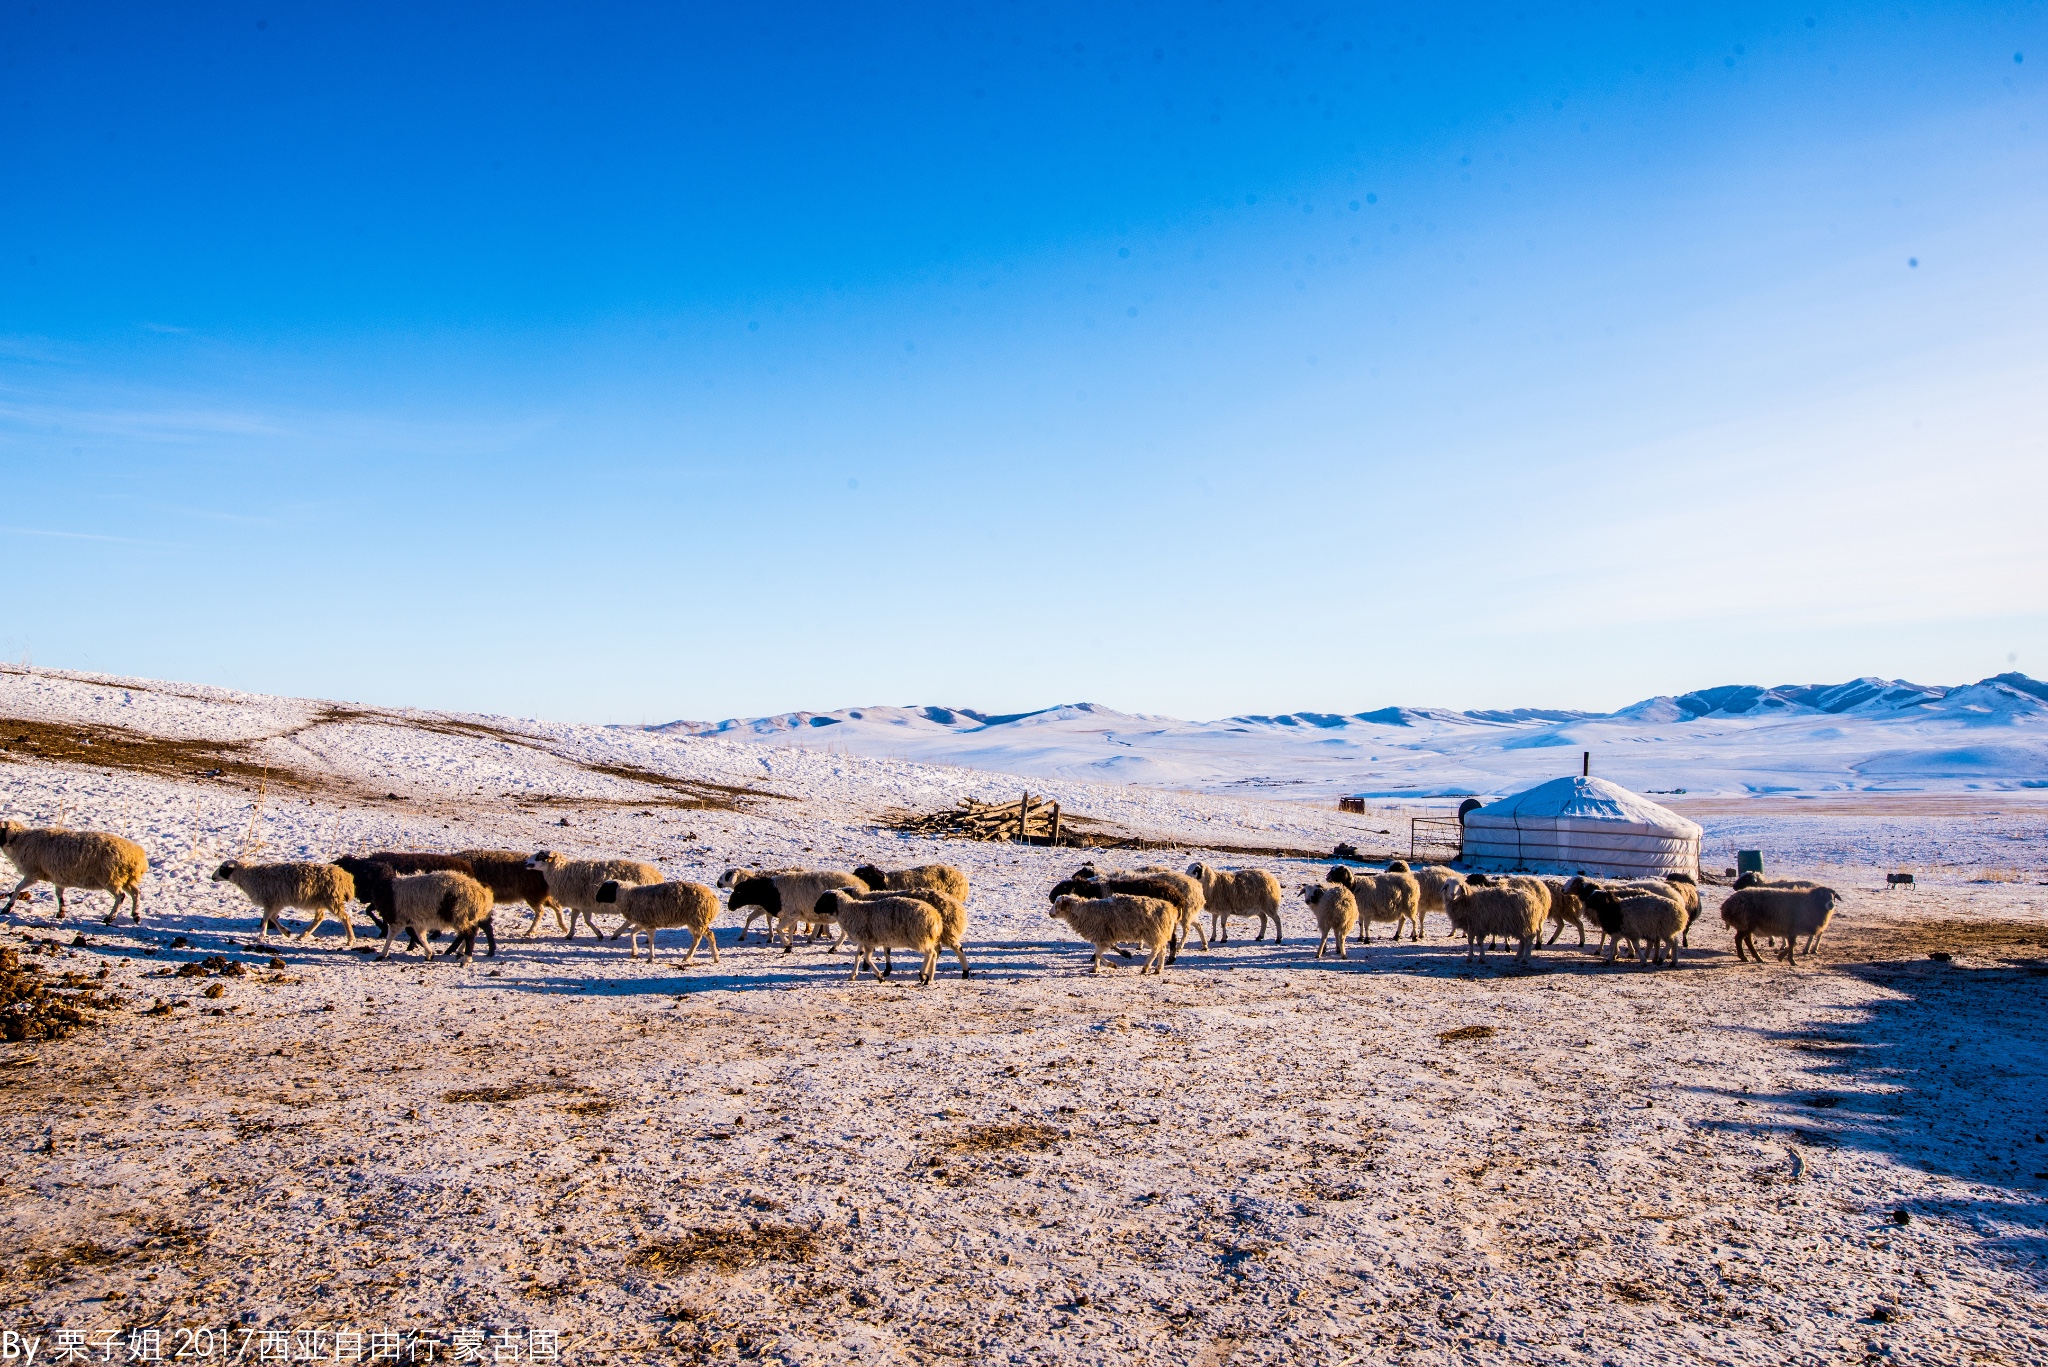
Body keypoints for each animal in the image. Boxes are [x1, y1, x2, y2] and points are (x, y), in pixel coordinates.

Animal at [0, 823, 148, 930]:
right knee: (136, 892)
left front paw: (7, 907)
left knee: (120, 896)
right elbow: (59, 894)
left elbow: (18, 888)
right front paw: (61, 912)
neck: (21, 841)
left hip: (110, 877)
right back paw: (136, 916)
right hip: (125, 878)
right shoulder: (58, 877)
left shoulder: (33, 873)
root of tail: (137, 856)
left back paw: (110, 917)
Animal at [209, 860, 358, 946]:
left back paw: (350, 940)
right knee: (319, 918)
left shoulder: (269, 901)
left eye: (223, 868)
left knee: (345, 917)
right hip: (321, 901)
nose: (212, 877)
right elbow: (273, 918)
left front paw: (260, 937)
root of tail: (346, 877)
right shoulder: (277, 902)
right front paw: (286, 932)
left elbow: (265, 919)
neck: (250, 877)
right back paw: (302, 936)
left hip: (331, 899)